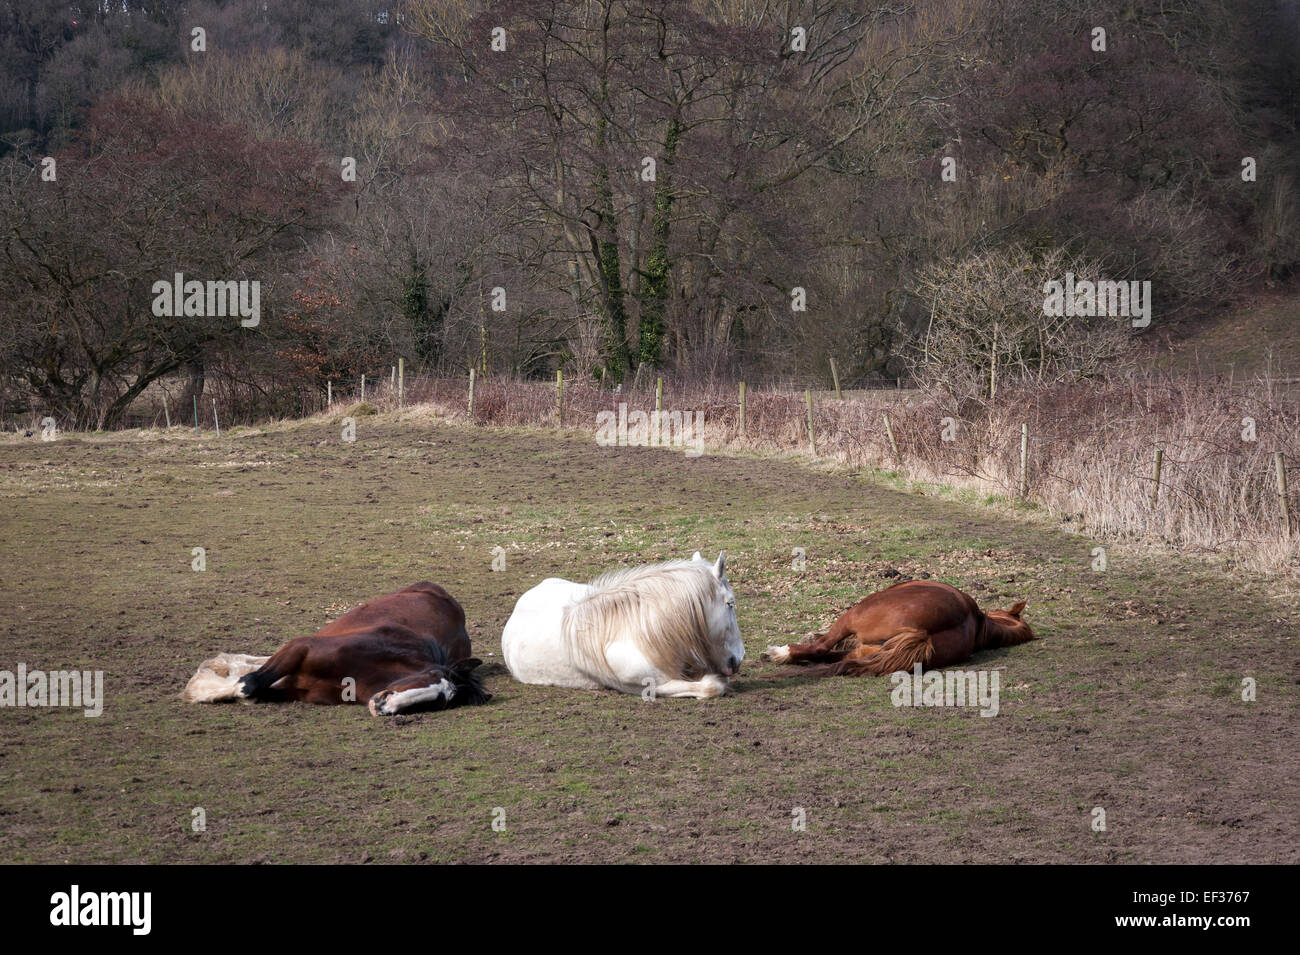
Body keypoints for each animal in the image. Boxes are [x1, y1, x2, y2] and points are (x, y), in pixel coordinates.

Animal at [182, 581, 490, 716]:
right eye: (428, 676)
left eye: (439, 702)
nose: (383, 705)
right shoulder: (300, 646)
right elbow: (248, 684)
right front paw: (201, 688)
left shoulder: (293, 689)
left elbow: (252, 690)